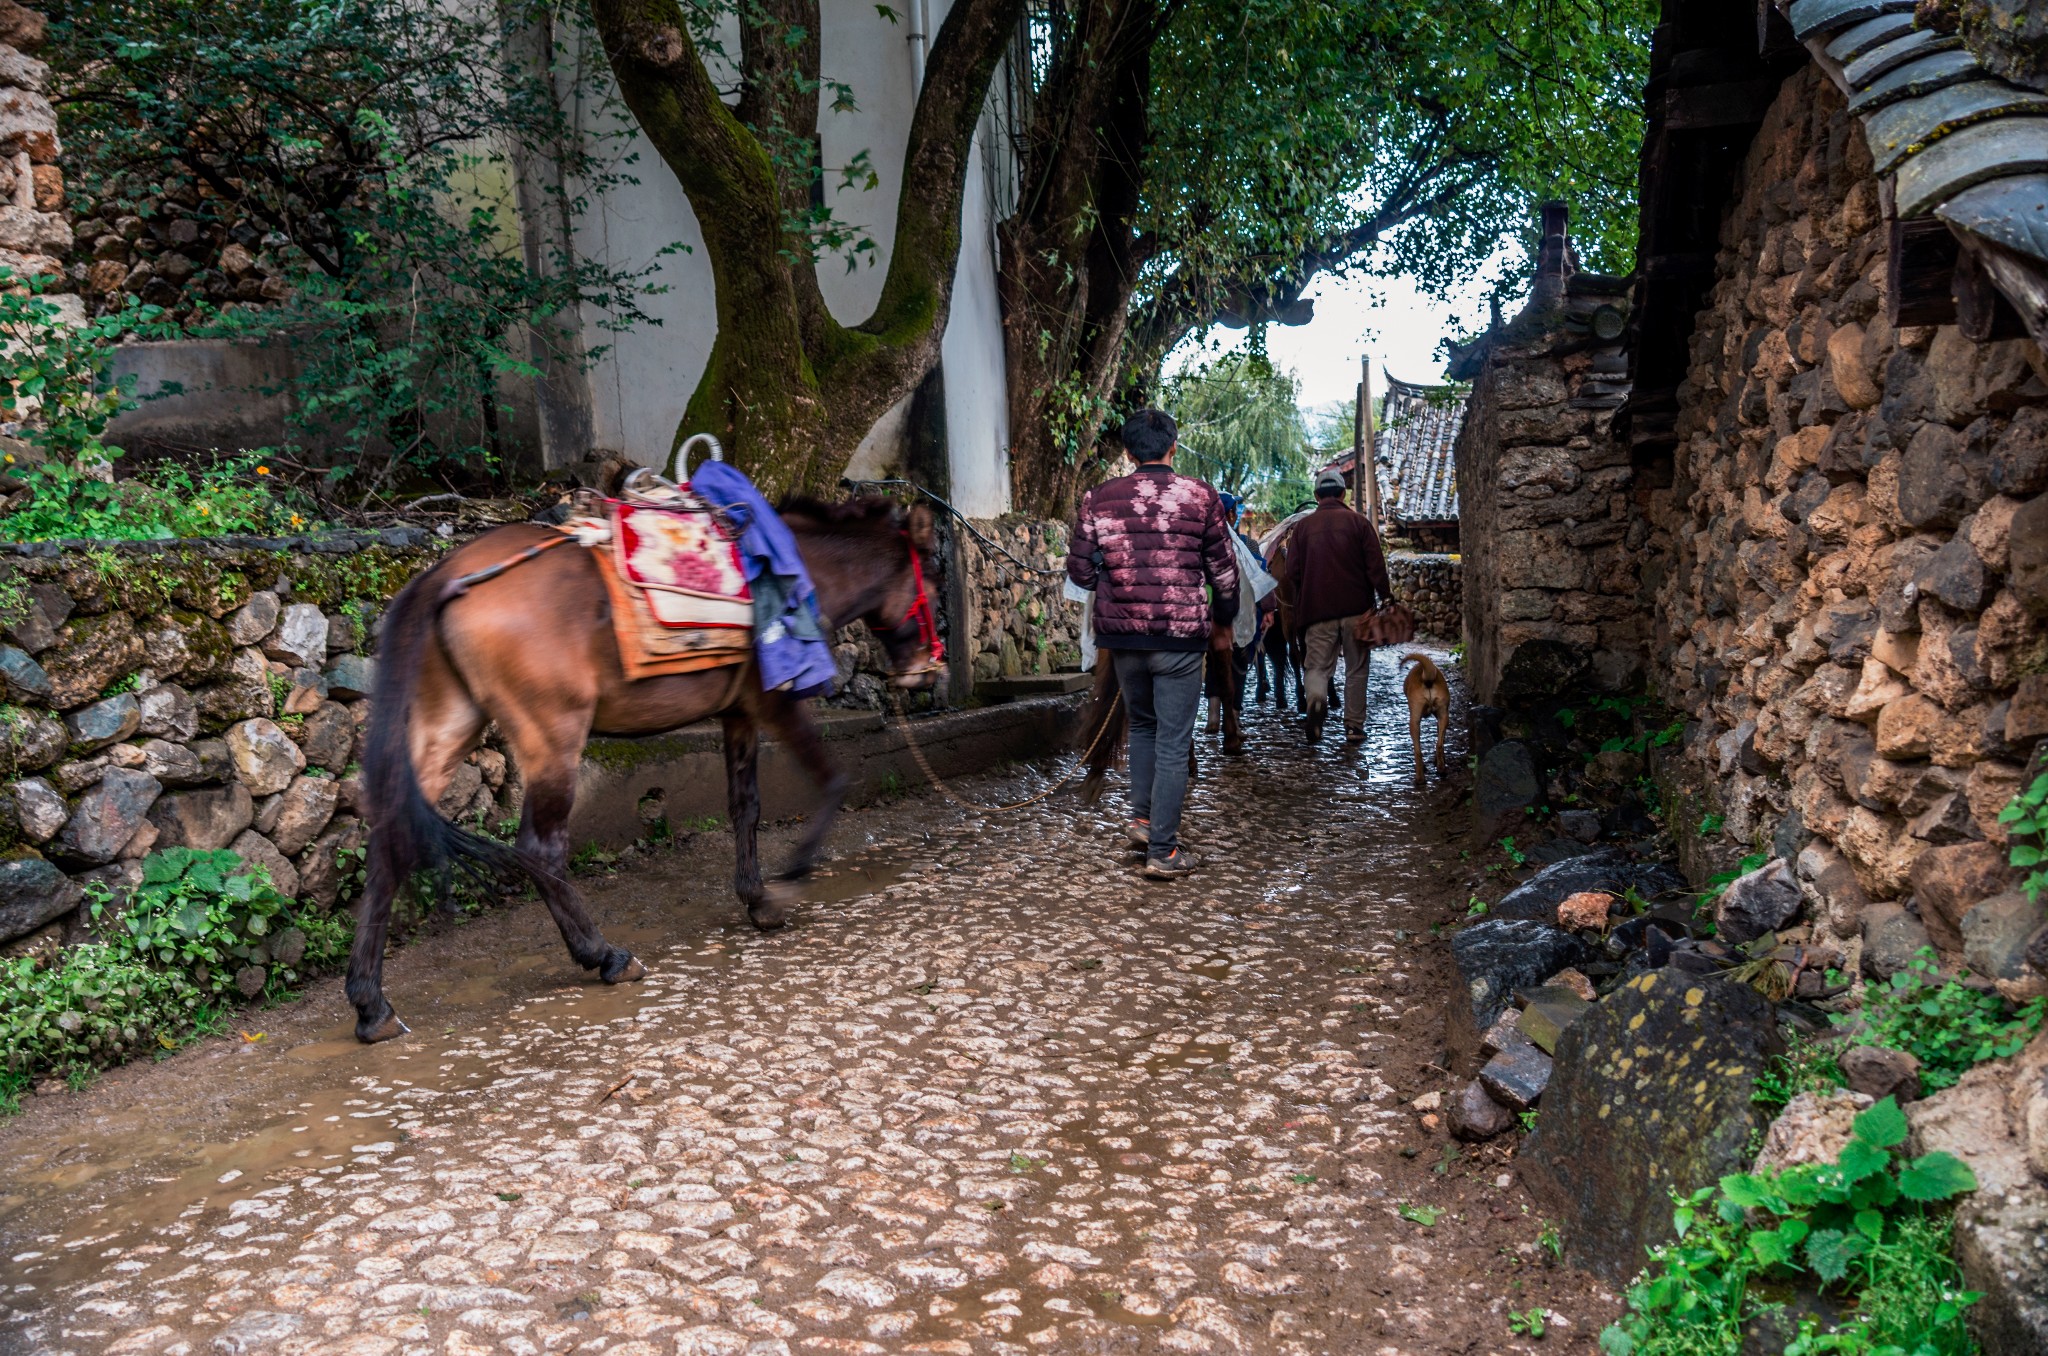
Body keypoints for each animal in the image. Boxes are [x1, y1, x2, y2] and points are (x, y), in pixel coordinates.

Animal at [350, 497, 942, 1040]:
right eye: (934, 586)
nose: (926, 672)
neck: (797, 566)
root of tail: (447, 572)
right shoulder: (777, 701)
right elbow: (833, 781)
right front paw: (788, 880)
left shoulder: (739, 712)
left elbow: (745, 805)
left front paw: (755, 897)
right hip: (553, 736)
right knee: (540, 850)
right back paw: (604, 955)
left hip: (451, 725)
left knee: (390, 842)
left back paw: (371, 1005)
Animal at [1400, 655, 1449, 786]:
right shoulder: (1441, 718)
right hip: (1444, 716)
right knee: (1439, 744)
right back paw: (1441, 769)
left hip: (1414, 722)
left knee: (1418, 752)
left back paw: (1420, 778)